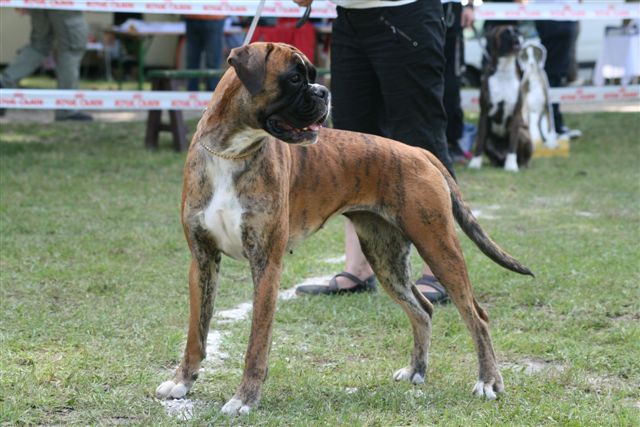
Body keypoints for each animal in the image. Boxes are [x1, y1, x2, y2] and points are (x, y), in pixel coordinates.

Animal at [156, 41, 536, 416]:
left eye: (311, 75)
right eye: (295, 78)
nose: (323, 91)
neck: (230, 152)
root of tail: (418, 151)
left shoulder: (266, 265)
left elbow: (256, 343)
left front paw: (244, 398)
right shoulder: (202, 260)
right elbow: (195, 333)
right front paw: (182, 382)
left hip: (438, 246)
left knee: (477, 316)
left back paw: (488, 382)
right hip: (386, 258)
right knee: (422, 309)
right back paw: (416, 370)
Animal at [468, 26, 532, 172]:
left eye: (517, 30)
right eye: (505, 33)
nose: (516, 35)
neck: (504, 70)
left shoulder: (515, 115)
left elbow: (512, 144)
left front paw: (511, 165)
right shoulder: (484, 113)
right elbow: (479, 141)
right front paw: (475, 162)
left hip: (523, 134)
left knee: (522, 154)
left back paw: (520, 164)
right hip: (489, 140)